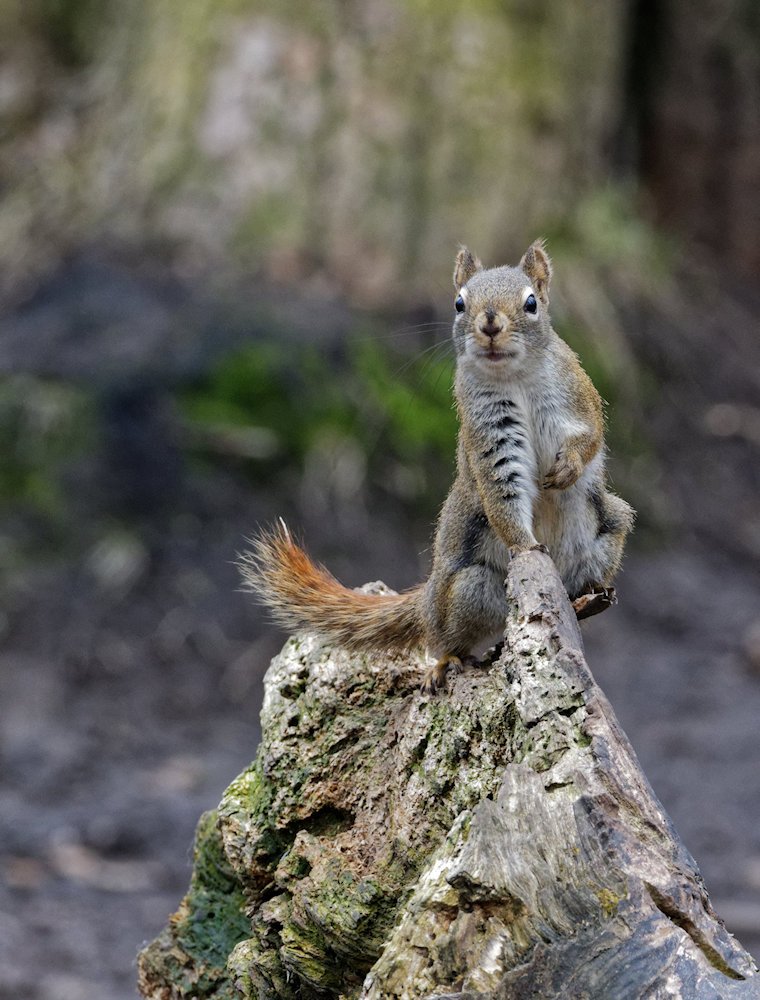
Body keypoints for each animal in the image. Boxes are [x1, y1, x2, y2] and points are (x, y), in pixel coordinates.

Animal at [240, 245, 632, 692]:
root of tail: (429, 598)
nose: (490, 323)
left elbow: (590, 438)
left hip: (609, 528)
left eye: (532, 303)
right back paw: (446, 661)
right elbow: (501, 495)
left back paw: (587, 599)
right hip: (469, 589)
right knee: (447, 635)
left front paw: (567, 467)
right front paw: (526, 546)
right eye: (459, 303)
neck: (514, 376)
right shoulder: (488, 438)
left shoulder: (578, 398)